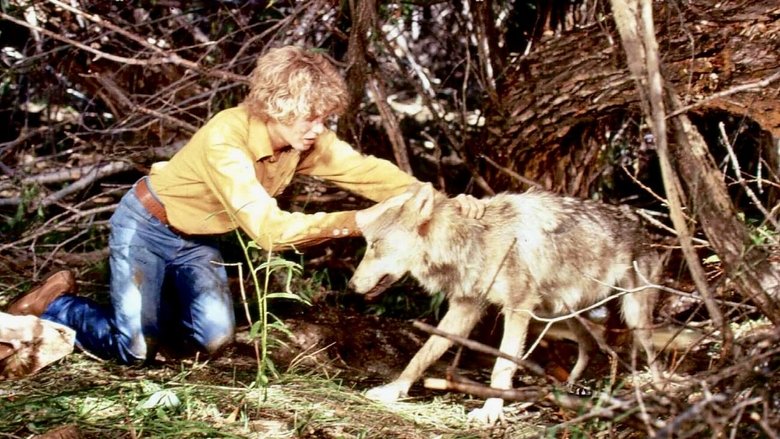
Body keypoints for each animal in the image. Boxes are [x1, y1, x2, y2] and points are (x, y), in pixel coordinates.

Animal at [348, 182, 661, 424]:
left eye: (374, 245)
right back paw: (569, 388)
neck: (474, 239)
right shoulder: (465, 309)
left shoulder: (518, 307)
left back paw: (660, 395)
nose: (350, 286)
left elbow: (502, 366)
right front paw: (394, 389)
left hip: (633, 317)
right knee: (589, 346)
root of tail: (644, 227)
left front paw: (490, 410)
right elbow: (422, 354)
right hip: (563, 311)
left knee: (650, 355)